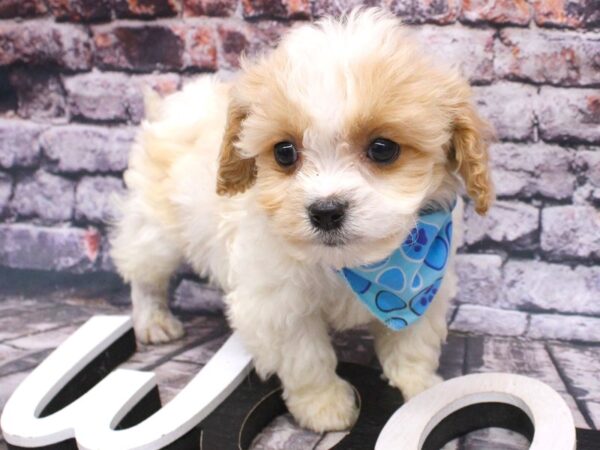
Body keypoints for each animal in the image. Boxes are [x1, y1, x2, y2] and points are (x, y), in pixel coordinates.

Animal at [109, 8, 492, 432]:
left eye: (382, 148)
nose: (325, 211)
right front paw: (324, 405)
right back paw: (154, 320)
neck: (359, 266)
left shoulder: (426, 289)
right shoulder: (277, 303)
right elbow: (306, 357)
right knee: (144, 273)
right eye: (284, 152)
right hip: (156, 227)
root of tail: (171, 105)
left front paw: (419, 387)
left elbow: (411, 341)